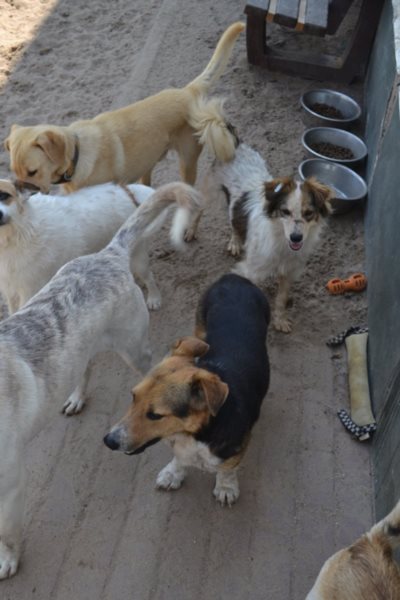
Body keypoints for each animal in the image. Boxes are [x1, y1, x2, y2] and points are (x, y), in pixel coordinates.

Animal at [0, 179, 171, 315]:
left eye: (5, 195)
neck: (22, 230)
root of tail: (126, 190)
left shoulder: (29, 290)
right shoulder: (10, 289)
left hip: (138, 254)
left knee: (149, 276)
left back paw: (154, 298)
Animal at [4, 22, 244, 194]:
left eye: (33, 172)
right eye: (14, 172)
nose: (20, 191)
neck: (76, 156)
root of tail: (187, 91)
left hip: (187, 162)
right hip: (149, 159)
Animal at [104, 273, 270, 506]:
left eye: (155, 415)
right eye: (133, 397)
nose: (109, 441)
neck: (190, 433)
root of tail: (234, 277)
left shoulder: (236, 447)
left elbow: (227, 469)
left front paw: (226, 487)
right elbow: (180, 458)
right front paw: (173, 473)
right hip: (199, 329)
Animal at [208, 143, 333, 332]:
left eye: (308, 213)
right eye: (285, 211)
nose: (296, 238)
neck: (281, 243)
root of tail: (237, 144)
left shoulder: (289, 272)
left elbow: (281, 299)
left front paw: (280, 320)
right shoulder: (250, 271)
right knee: (233, 221)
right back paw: (235, 242)